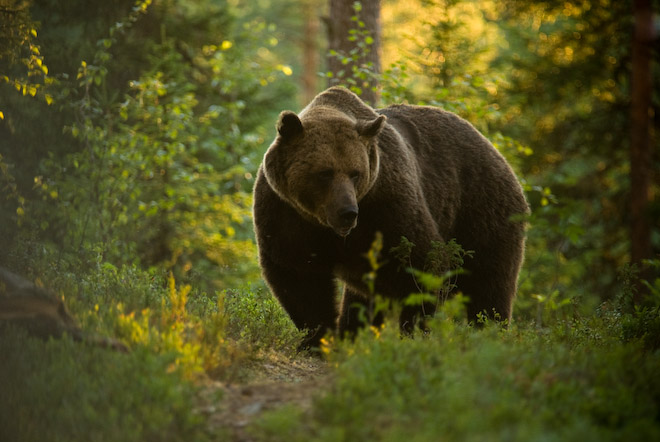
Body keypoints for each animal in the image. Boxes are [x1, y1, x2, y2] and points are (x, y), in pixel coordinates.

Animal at [253, 86, 532, 348]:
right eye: (325, 173)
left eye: (355, 173)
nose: (348, 213)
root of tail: (498, 153)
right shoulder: (285, 212)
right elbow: (298, 274)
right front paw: (317, 339)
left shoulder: (387, 205)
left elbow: (421, 266)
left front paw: (413, 332)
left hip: (480, 211)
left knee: (489, 283)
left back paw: (488, 331)